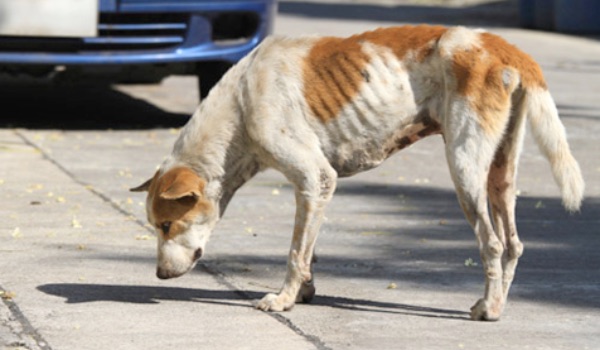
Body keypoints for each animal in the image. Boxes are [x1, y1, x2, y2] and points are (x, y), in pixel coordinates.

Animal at [130, 23, 580, 320]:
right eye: (155, 227)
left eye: (167, 226)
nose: (159, 275)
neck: (241, 103)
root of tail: (504, 46)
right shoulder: (317, 190)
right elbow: (308, 249)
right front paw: (305, 290)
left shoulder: (315, 179)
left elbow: (295, 253)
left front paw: (283, 299)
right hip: (500, 173)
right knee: (514, 244)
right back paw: (499, 302)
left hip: (465, 168)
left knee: (493, 243)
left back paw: (488, 308)